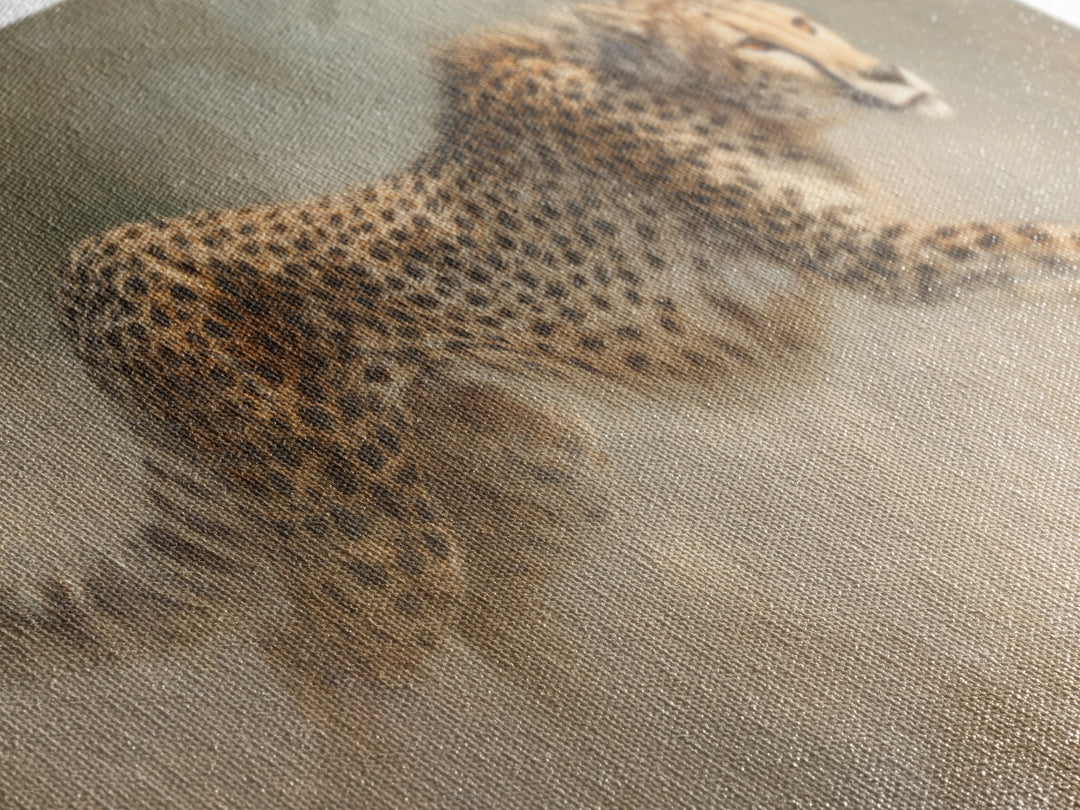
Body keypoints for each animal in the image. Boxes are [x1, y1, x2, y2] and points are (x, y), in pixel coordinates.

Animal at [31, 0, 1080, 685]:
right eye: (755, 40)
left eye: (808, 21)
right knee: (333, 647)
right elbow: (1034, 240)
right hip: (370, 523)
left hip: (518, 463)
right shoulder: (880, 254)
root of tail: (80, 267)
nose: (888, 72)